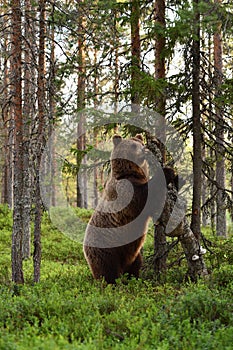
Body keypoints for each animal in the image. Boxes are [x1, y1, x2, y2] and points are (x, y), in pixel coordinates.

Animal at [83, 134, 166, 284]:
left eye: (141, 142)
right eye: (133, 145)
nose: (145, 150)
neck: (130, 173)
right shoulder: (124, 191)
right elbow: (144, 198)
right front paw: (169, 172)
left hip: (133, 254)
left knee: (136, 263)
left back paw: (133, 278)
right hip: (106, 248)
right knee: (108, 269)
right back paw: (112, 283)